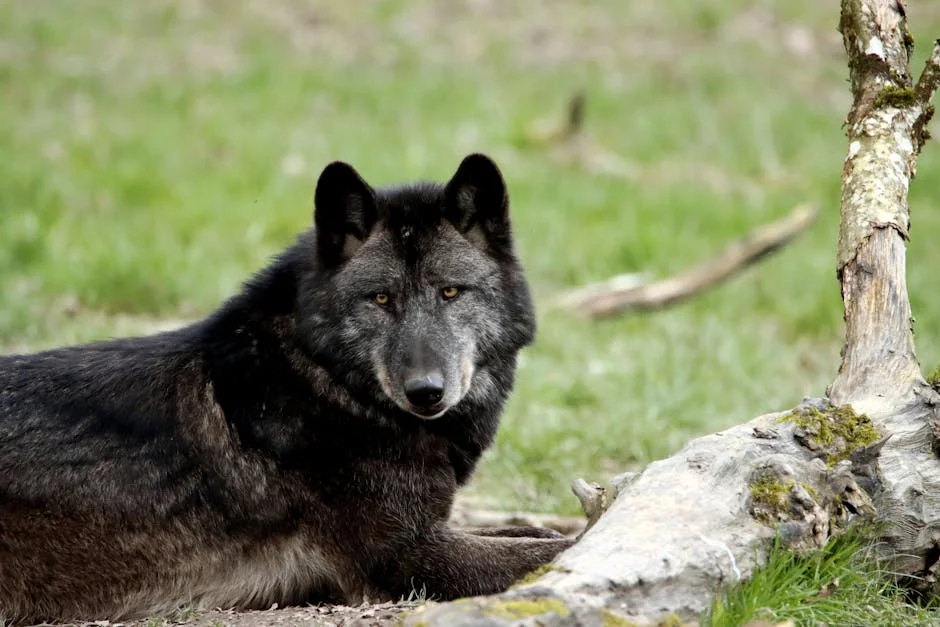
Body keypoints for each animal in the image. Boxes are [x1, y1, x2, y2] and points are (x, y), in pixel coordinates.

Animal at [0, 154, 573, 624]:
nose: (425, 391)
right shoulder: (406, 557)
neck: (323, 383)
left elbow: (538, 535)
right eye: (381, 298)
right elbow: (551, 550)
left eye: (451, 292)